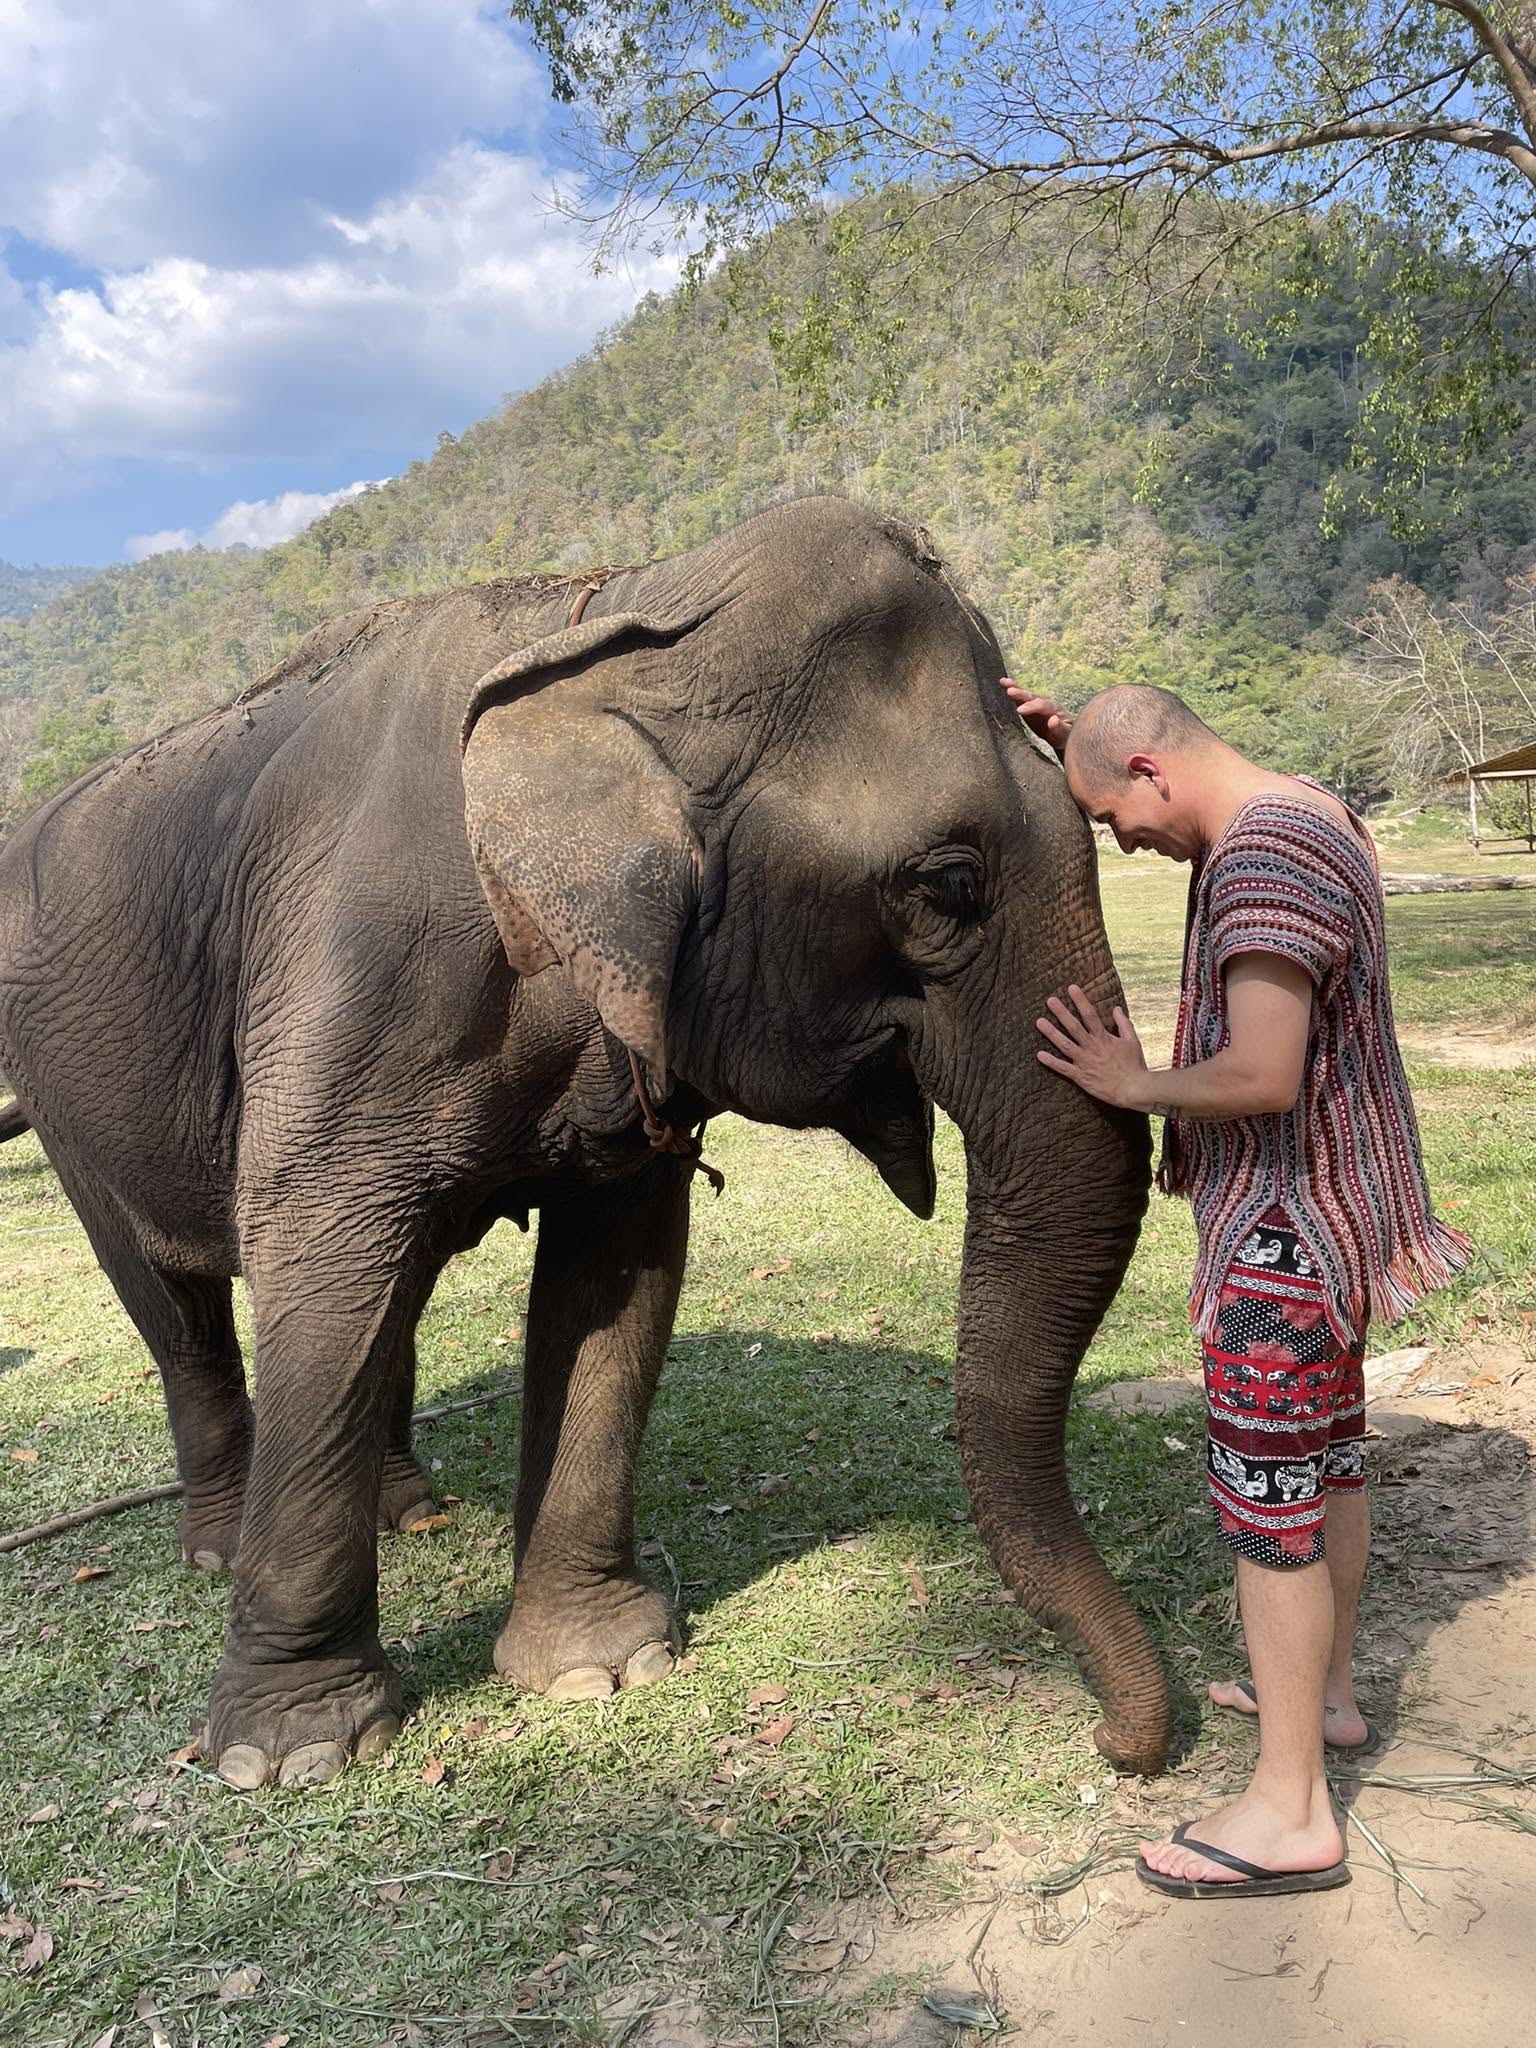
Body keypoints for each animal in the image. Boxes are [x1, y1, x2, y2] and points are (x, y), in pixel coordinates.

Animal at [0, 497, 1160, 1787]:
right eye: (949, 882)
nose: (1117, 1742)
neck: (618, 611)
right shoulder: (344, 973)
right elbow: (320, 1247)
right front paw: (293, 1754)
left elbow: (616, 1271)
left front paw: (601, 1669)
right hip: (63, 1096)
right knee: (180, 1305)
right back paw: (215, 1545)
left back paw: (412, 1512)